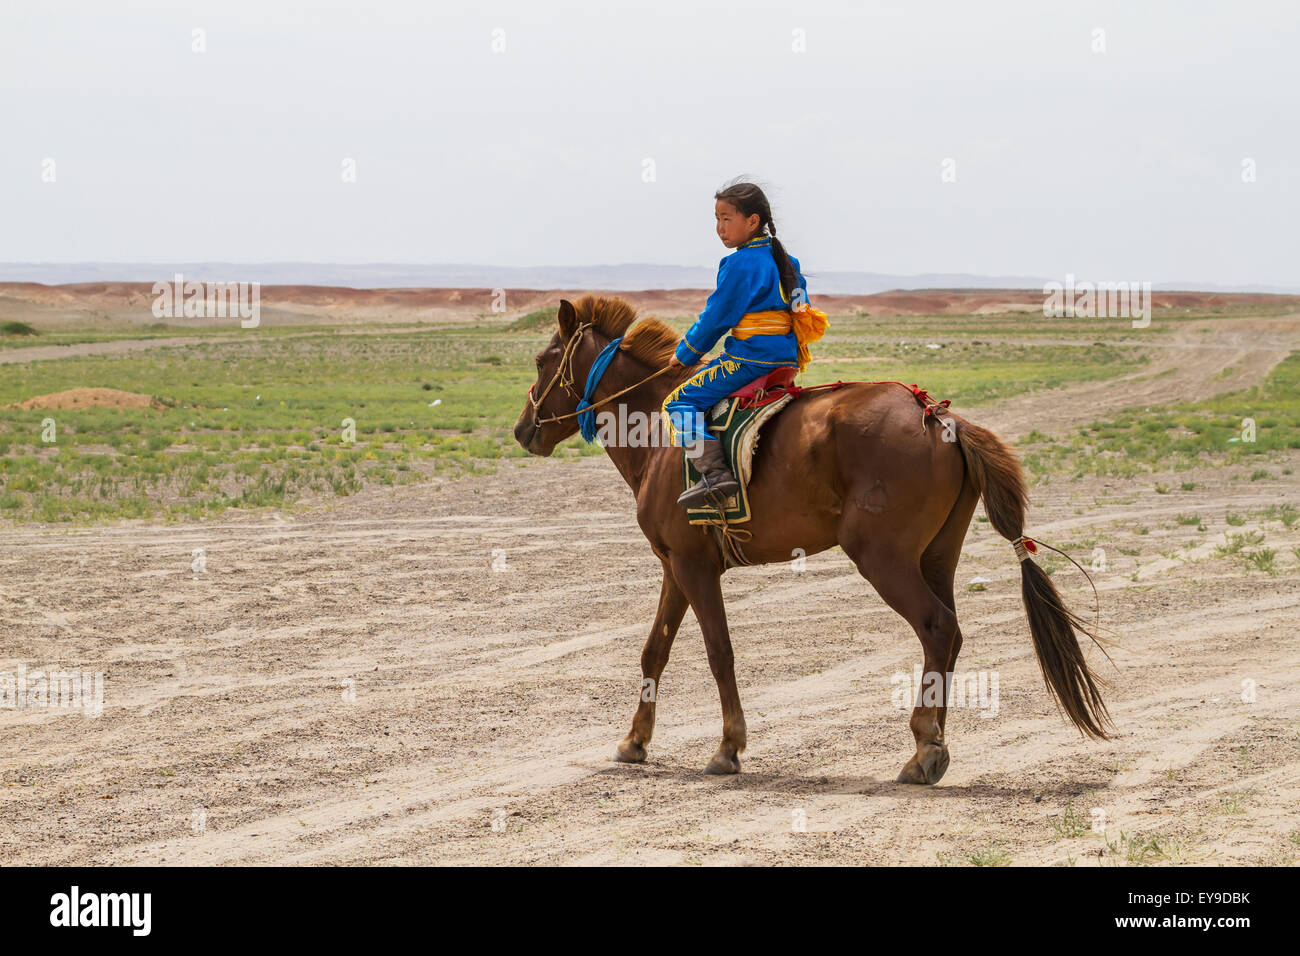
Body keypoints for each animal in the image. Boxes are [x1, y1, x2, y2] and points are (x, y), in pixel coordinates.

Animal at [513, 295, 1112, 784]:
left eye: (542, 361)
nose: (523, 430)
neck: (659, 436)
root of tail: (937, 416)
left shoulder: (693, 566)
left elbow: (718, 651)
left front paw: (728, 748)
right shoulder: (676, 566)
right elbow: (654, 650)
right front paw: (634, 741)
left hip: (883, 558)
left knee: (937, 627)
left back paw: (923, 750)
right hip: (937, 557)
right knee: (951, 634)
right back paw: (933, 742)